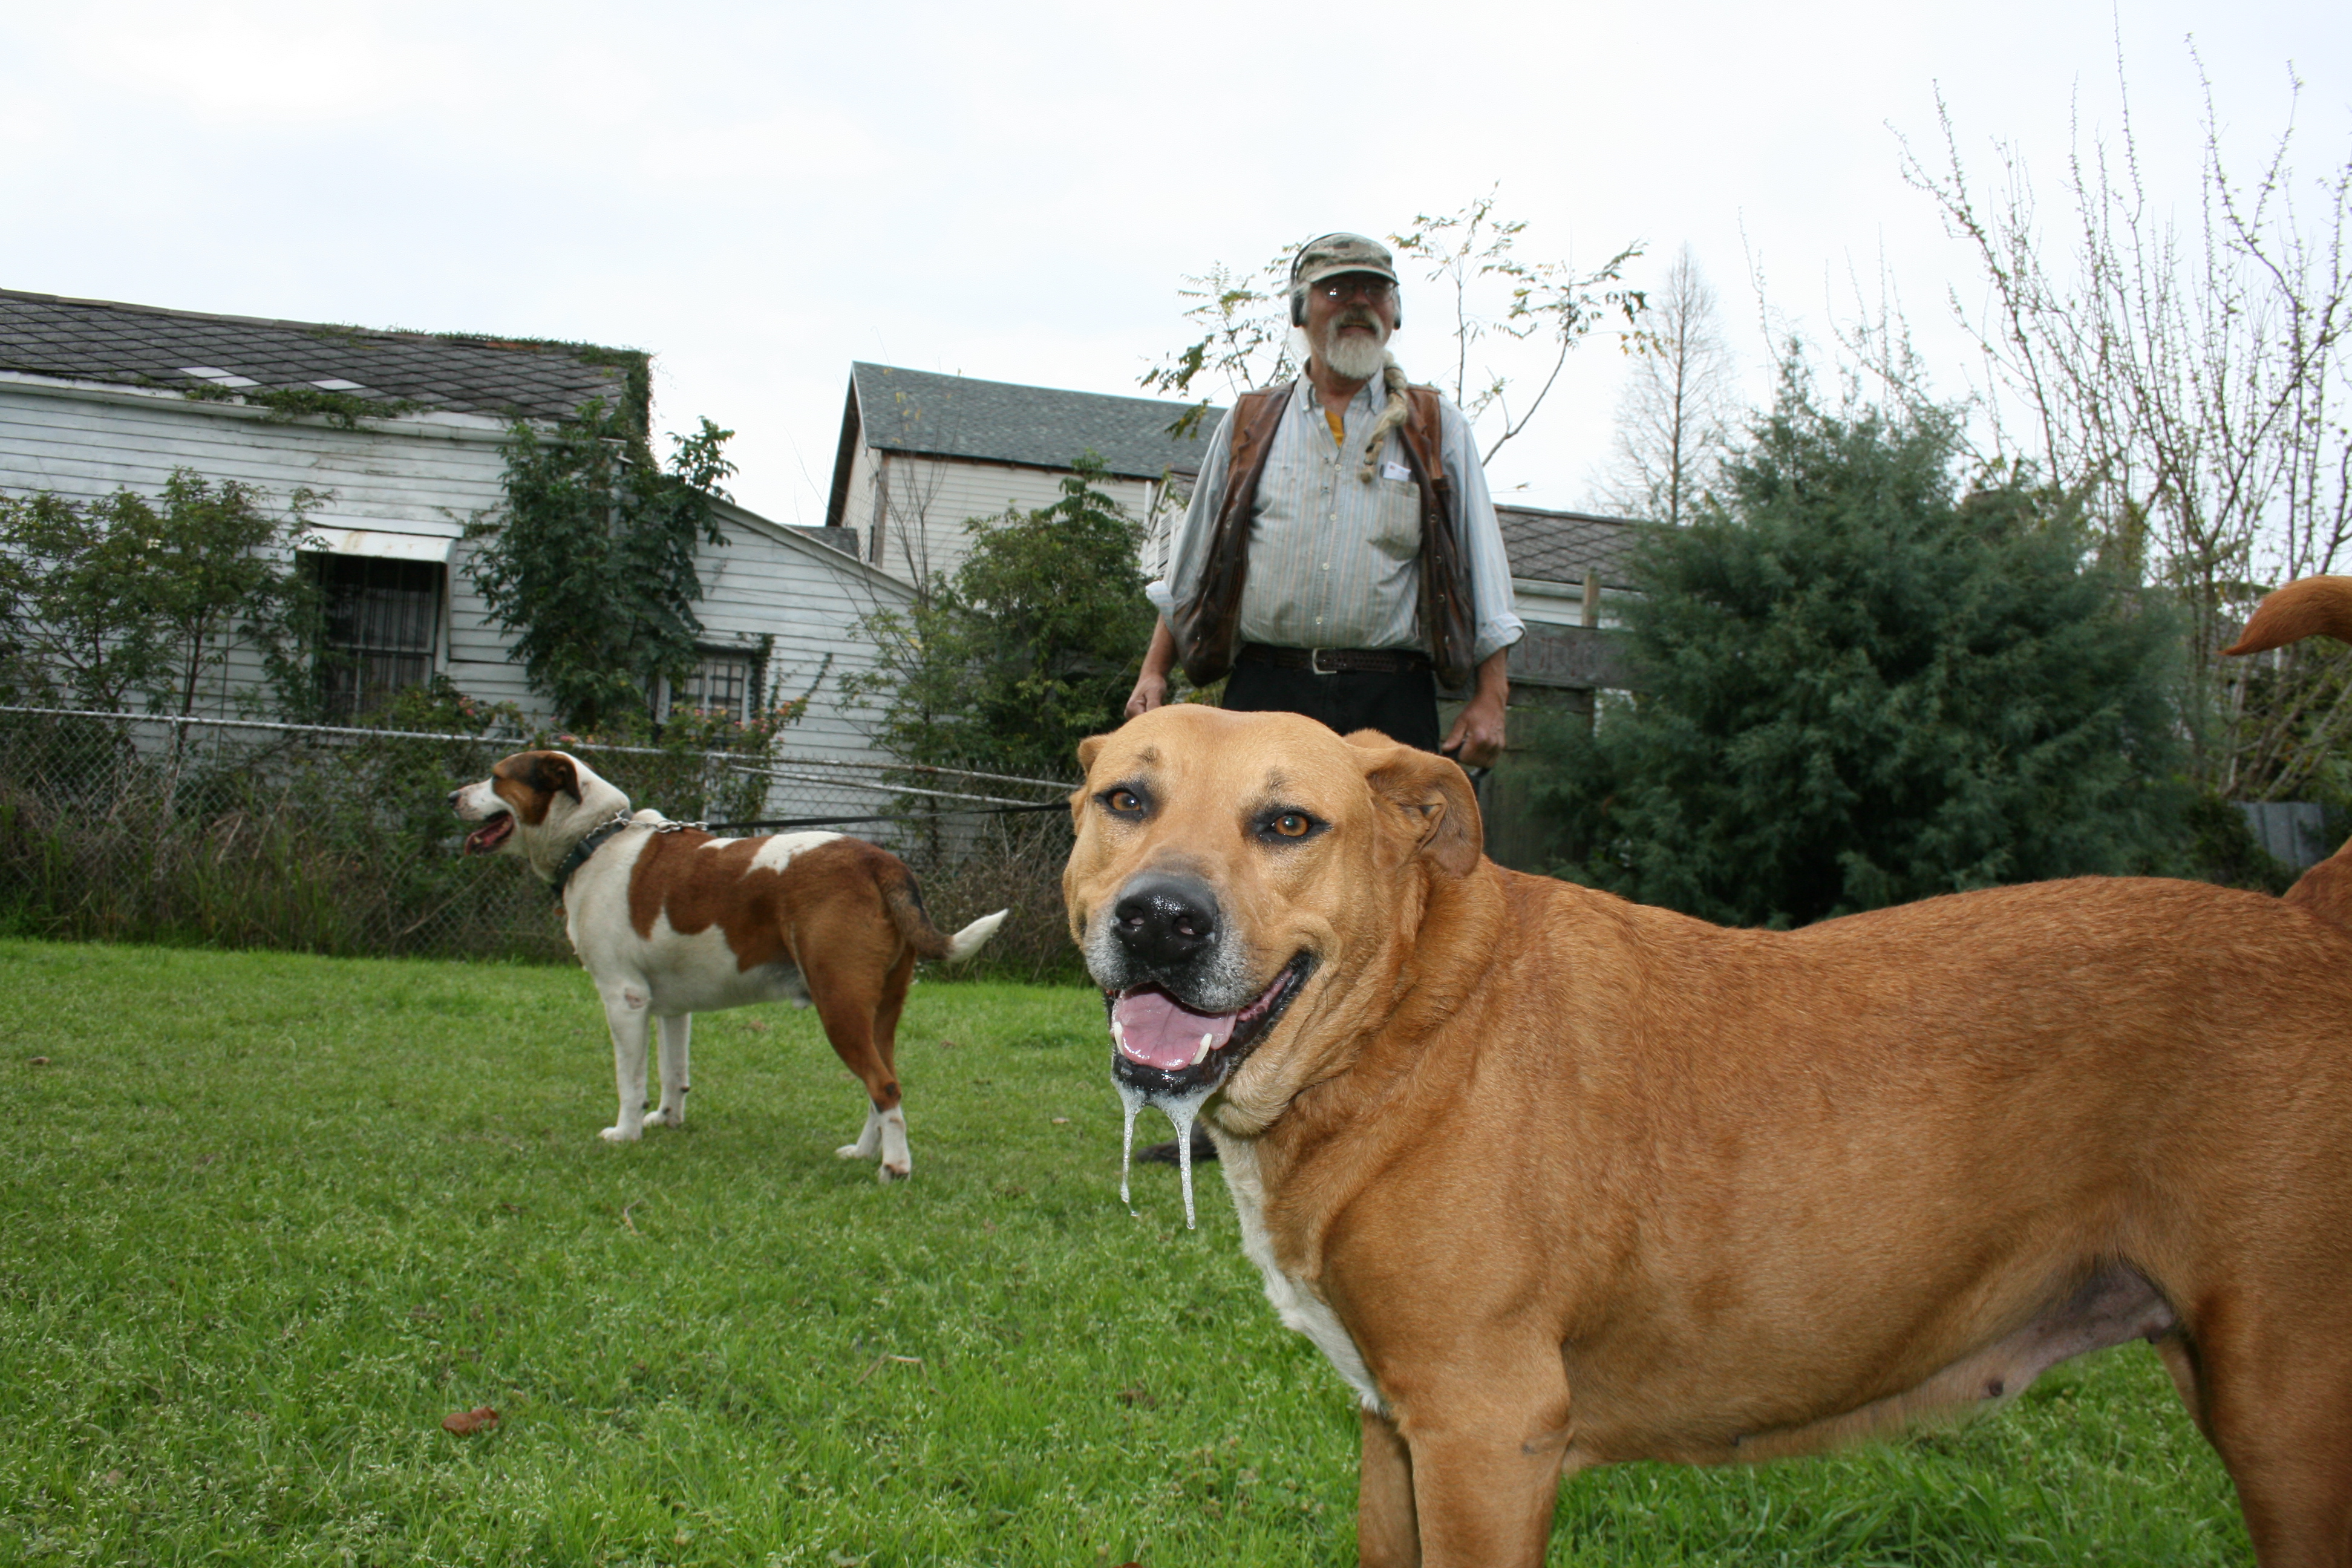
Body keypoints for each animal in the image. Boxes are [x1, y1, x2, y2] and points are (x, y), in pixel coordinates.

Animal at [451, 749, 1004, 1178]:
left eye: (497, 776)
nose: (452, 796)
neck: (595, 840)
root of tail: (880, 862)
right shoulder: (671, 1008)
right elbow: (673, 1071)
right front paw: (667, 1120)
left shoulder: (624, 999)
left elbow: (630, 1080)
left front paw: (625, 1133)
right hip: (878, 1013)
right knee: (884, 1083)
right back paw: (865, 1153)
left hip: (839, 1007)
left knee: (883, 1086)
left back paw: (895, 1167)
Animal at [1064, 702, 2352, 1567]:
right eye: (1124, 799)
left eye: (1287, 822)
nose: (1162, 919)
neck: (1405, 1022)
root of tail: (2304, 924)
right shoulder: (1397, 1433)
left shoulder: (1485, 1435)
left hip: (2287, 1418)